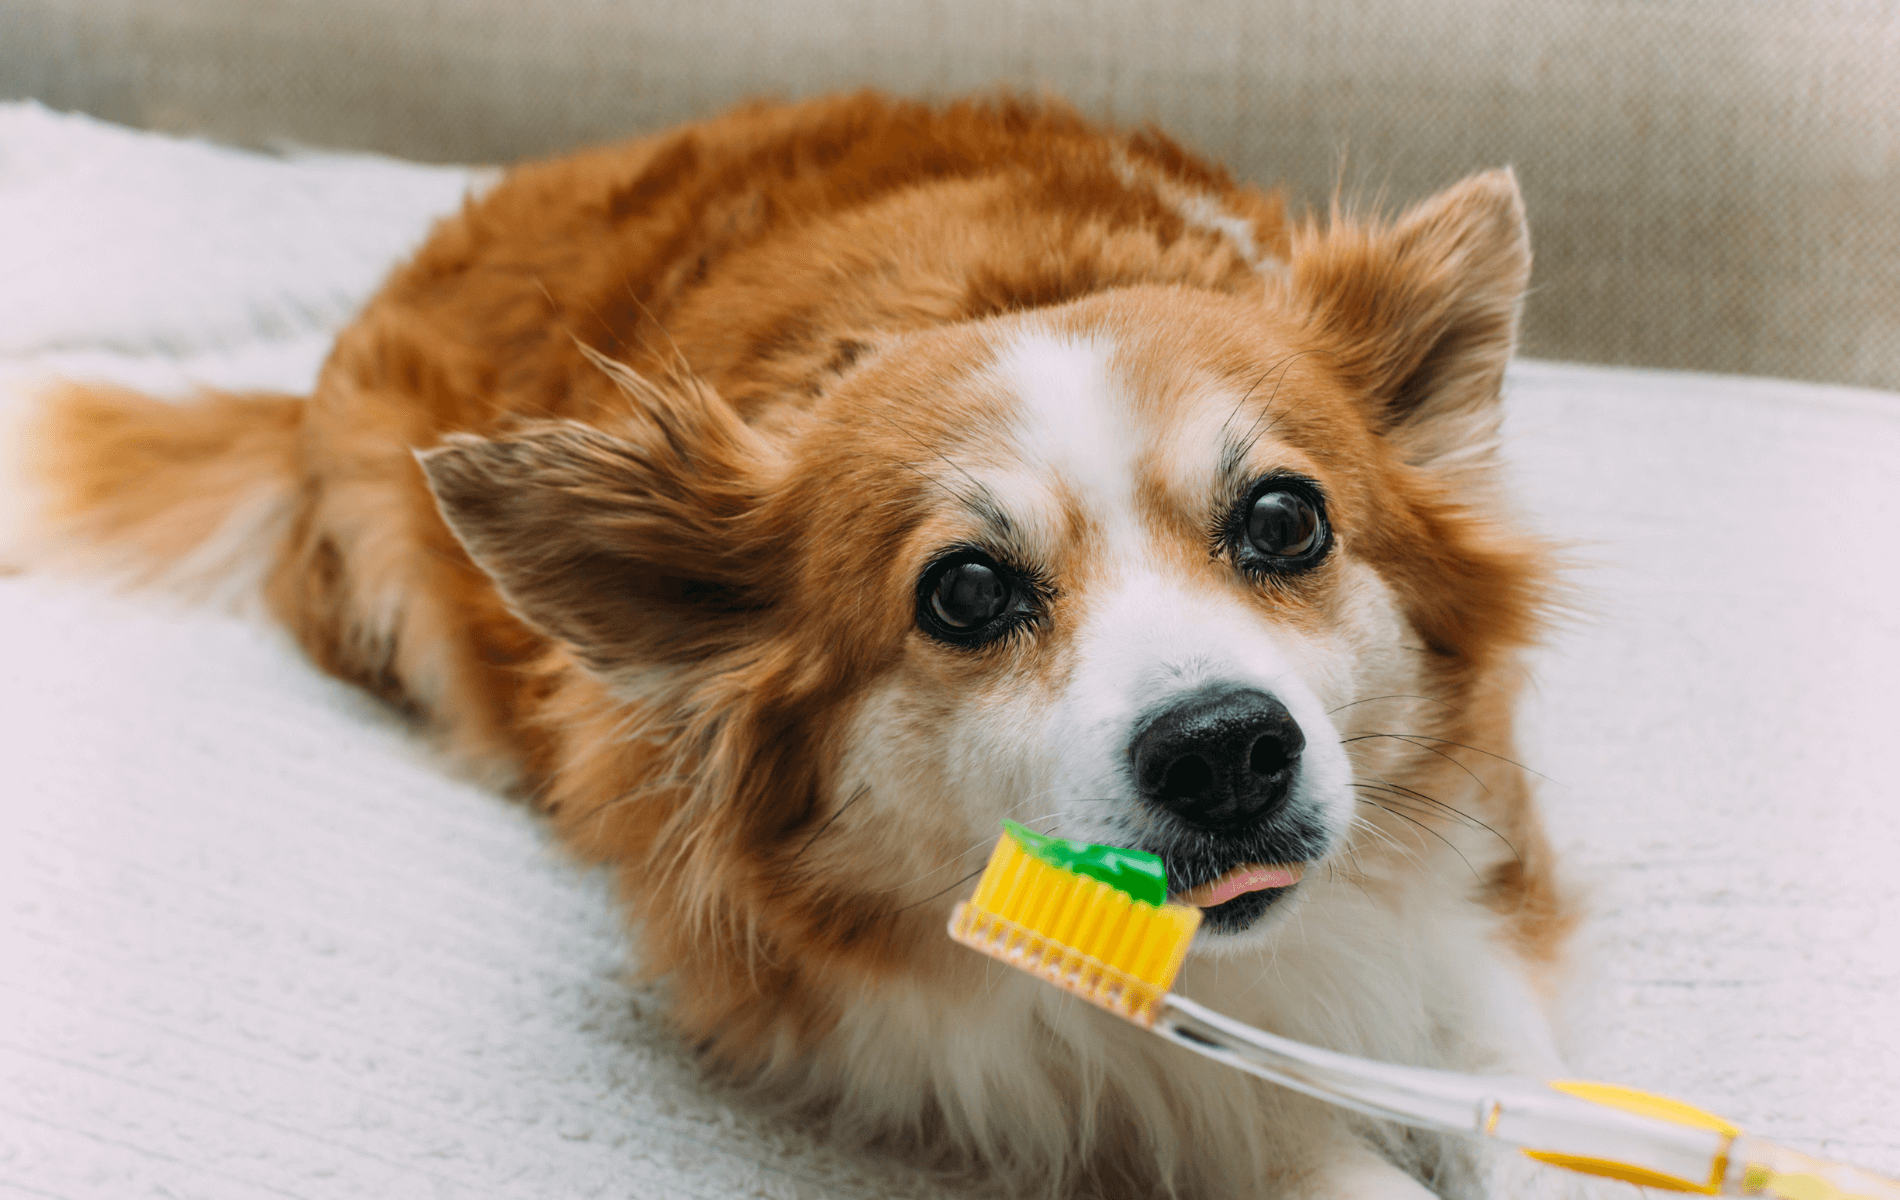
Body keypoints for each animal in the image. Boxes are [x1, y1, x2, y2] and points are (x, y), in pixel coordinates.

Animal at [14, 93, 1573, 1200]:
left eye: (1284, 521)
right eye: (963, 594)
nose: (1226, 753)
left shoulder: (1475, 892)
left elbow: (1520, 1086)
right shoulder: (1001, 1038)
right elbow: (1236, 1115)